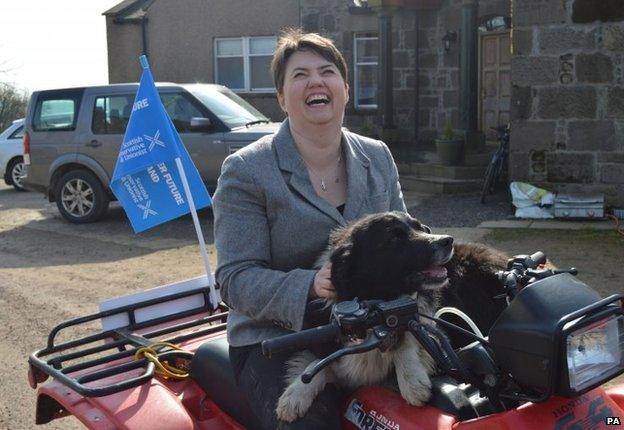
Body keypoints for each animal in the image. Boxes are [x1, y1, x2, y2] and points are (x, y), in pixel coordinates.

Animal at [276, 210, 508, 422]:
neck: (375, 306)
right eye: (394, 238)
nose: (447, 240)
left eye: (422, 228)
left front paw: (412, 379)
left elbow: (407, 338)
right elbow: (317, 364)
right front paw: (294, 394)